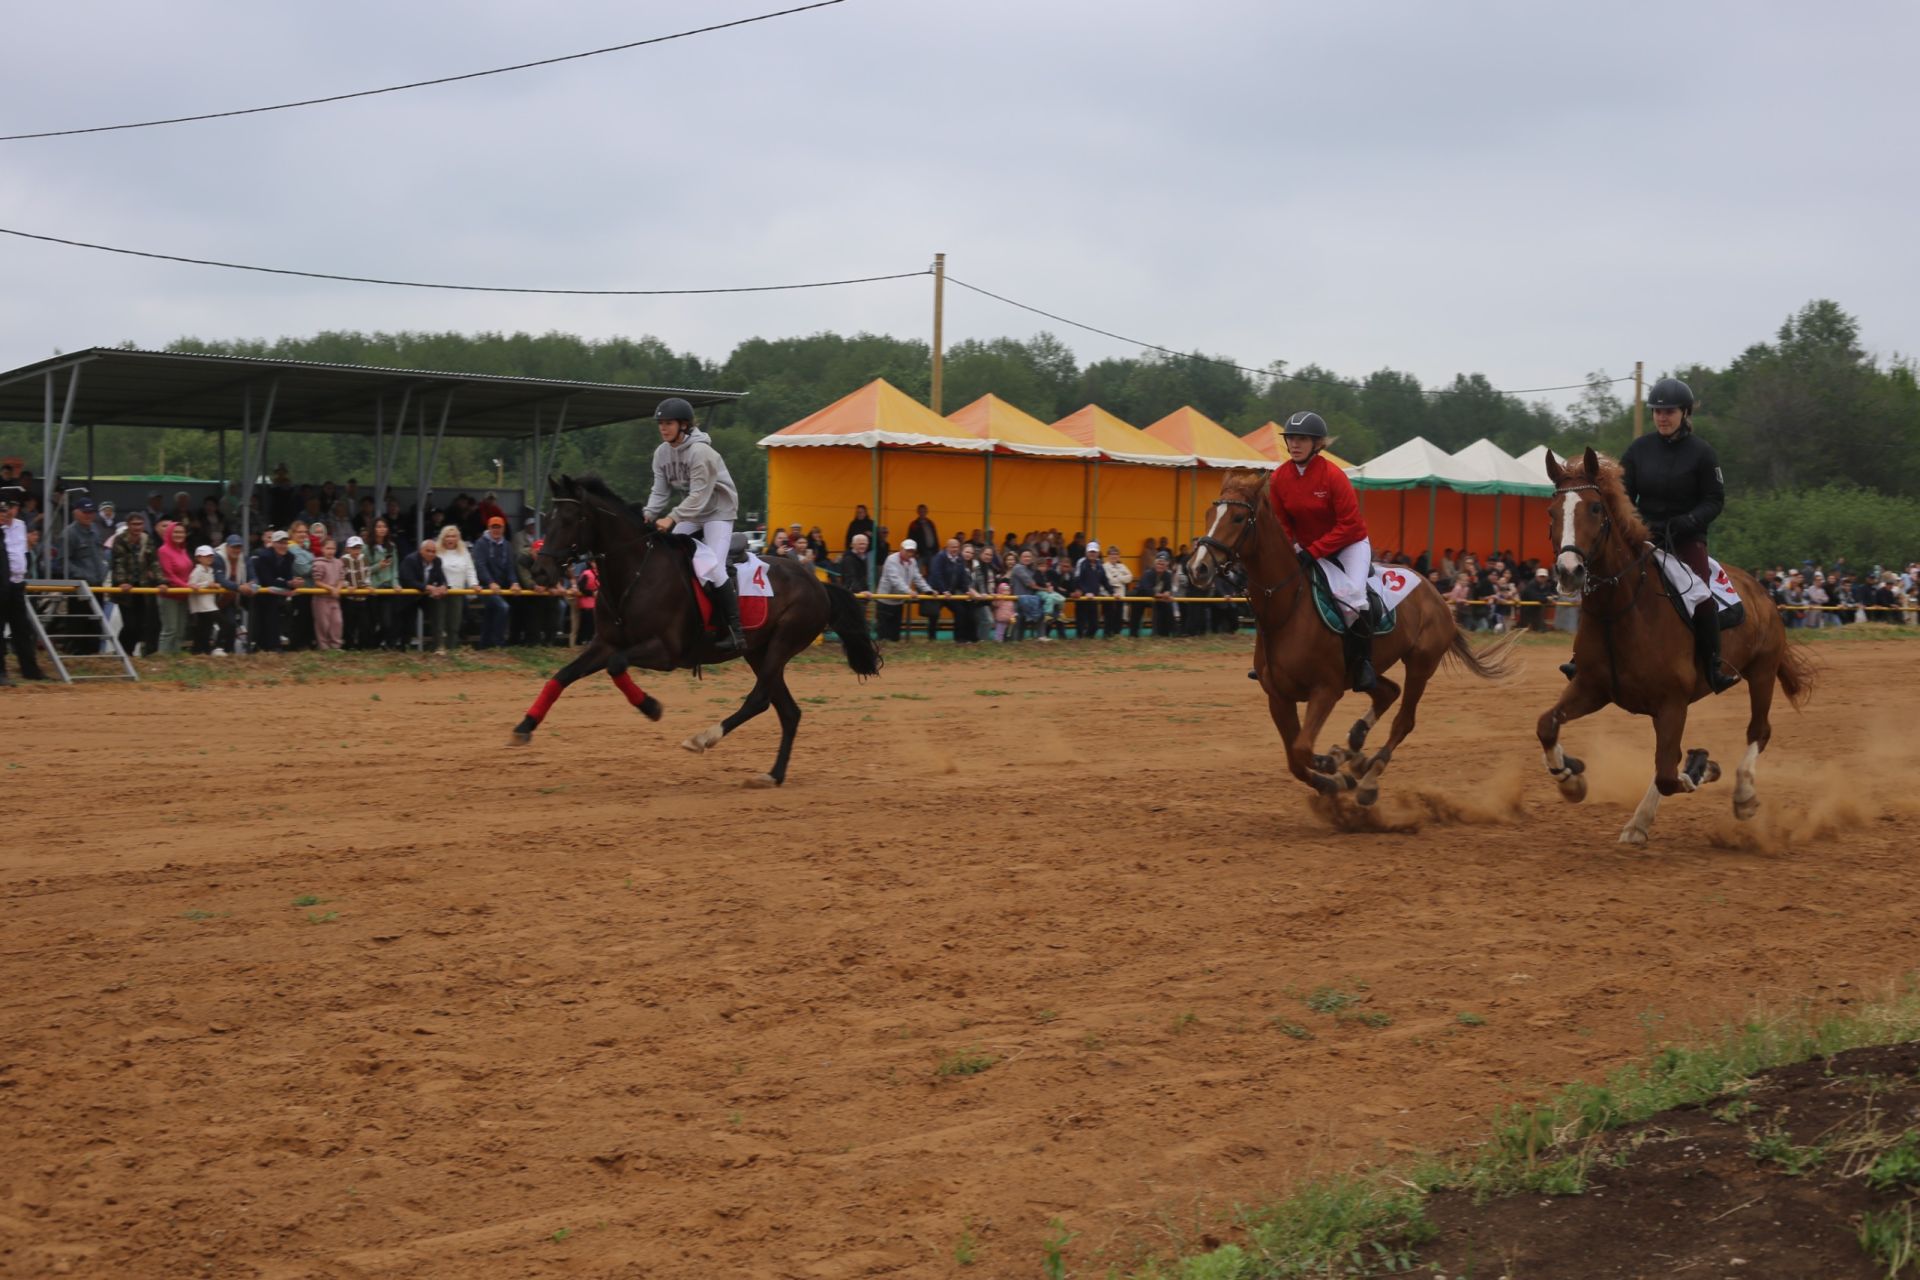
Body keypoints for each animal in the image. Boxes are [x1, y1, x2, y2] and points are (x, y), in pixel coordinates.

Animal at [514, 474, 879, 786]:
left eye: (569, 519)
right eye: (547, 518)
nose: (540, 570)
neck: (635, 571)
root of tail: (818, 583)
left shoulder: (665, 652)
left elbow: (617, 666)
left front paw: (650, 706)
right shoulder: (605, 643)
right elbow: (562, 676)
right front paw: (525, 725)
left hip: (782, 643)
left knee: (760, 699)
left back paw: (705, 737)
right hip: (758, 651)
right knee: (788, 711)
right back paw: (773, 774)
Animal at [1182, 466, 1512, 805]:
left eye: (1237, 517)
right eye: (1209, 513)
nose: (1197, 568)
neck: (1288, 608)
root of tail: (1437, 594)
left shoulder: (1325, 690)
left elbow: (1302, 749)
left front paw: (1332, 766)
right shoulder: (1279, 698)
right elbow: (1294, 759)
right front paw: (1333, 777)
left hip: (1420, 664)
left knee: (1403, 721)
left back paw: (1368, 776)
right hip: (1362, 671)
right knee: (1387, 692)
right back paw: (1355, 747)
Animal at [1536, 445, 1804, 844]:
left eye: (1595, 508)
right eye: (1552, 511)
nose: (1569, 572)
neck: (1621, 612)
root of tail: (1762, 590)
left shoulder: (1672, 704)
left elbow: (1669, 773)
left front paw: (1702, 766)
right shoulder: (1591, 688)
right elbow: (1546, 725)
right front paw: (1570, 778)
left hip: (1762, 674)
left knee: (1758, 731)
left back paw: (1743, 797)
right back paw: (1638, 822)